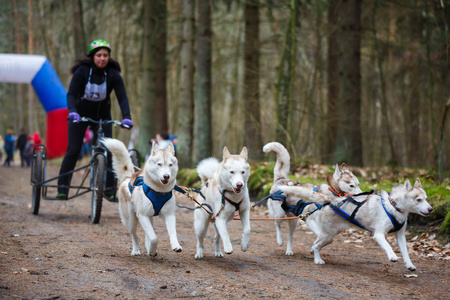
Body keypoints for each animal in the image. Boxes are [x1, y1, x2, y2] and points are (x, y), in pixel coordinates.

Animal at [282, 178, 432, 270]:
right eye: (418, 199)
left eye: (426, 198)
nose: (431, 209)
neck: (393, 206)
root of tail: (331, 199)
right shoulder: (379, 235)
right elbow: (388, 246)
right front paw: (392, 256)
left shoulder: (400, 236)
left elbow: (406, 252)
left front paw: (409, 265)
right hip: (328, 236)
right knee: (316, 244)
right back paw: (317, 259)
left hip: (329, 236)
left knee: (315, 244)